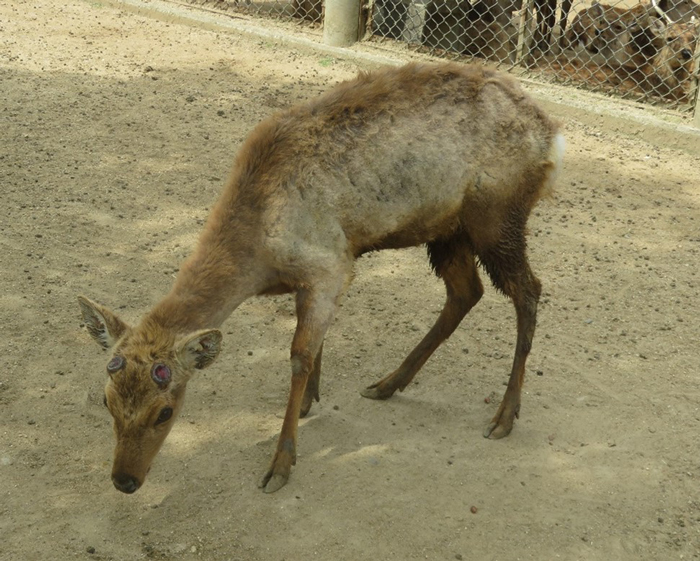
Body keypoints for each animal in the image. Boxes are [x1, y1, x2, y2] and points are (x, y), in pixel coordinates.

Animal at [78, 62, 564, 495]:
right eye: (106, 399)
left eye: (165, 411)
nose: (124, 480)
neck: (259, 255)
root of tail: (552, 134)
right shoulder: (316, 276)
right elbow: (315, 346)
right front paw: (312, 400)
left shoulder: (330, 264)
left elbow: (299, 355)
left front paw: (280, 463)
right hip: (448, 229)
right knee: (466, 292)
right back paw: (387, 384)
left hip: (498, 215)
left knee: (529, 290)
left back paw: (503, 415)